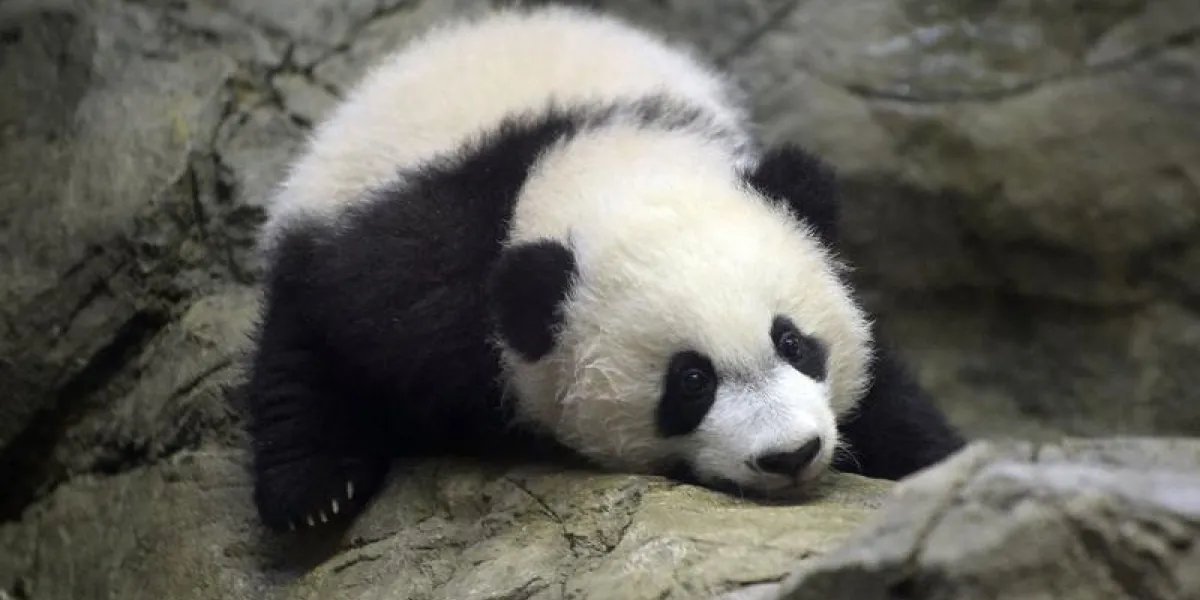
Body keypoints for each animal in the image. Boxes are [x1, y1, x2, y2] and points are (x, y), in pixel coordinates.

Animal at [244, 4, 965, 532]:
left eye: (793, 342)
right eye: (691, 382)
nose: (791, 455)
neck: (590, 157)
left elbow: (887, 396)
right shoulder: (411, 275)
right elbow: (341, 346)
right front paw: (315, 490)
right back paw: (316, 496)